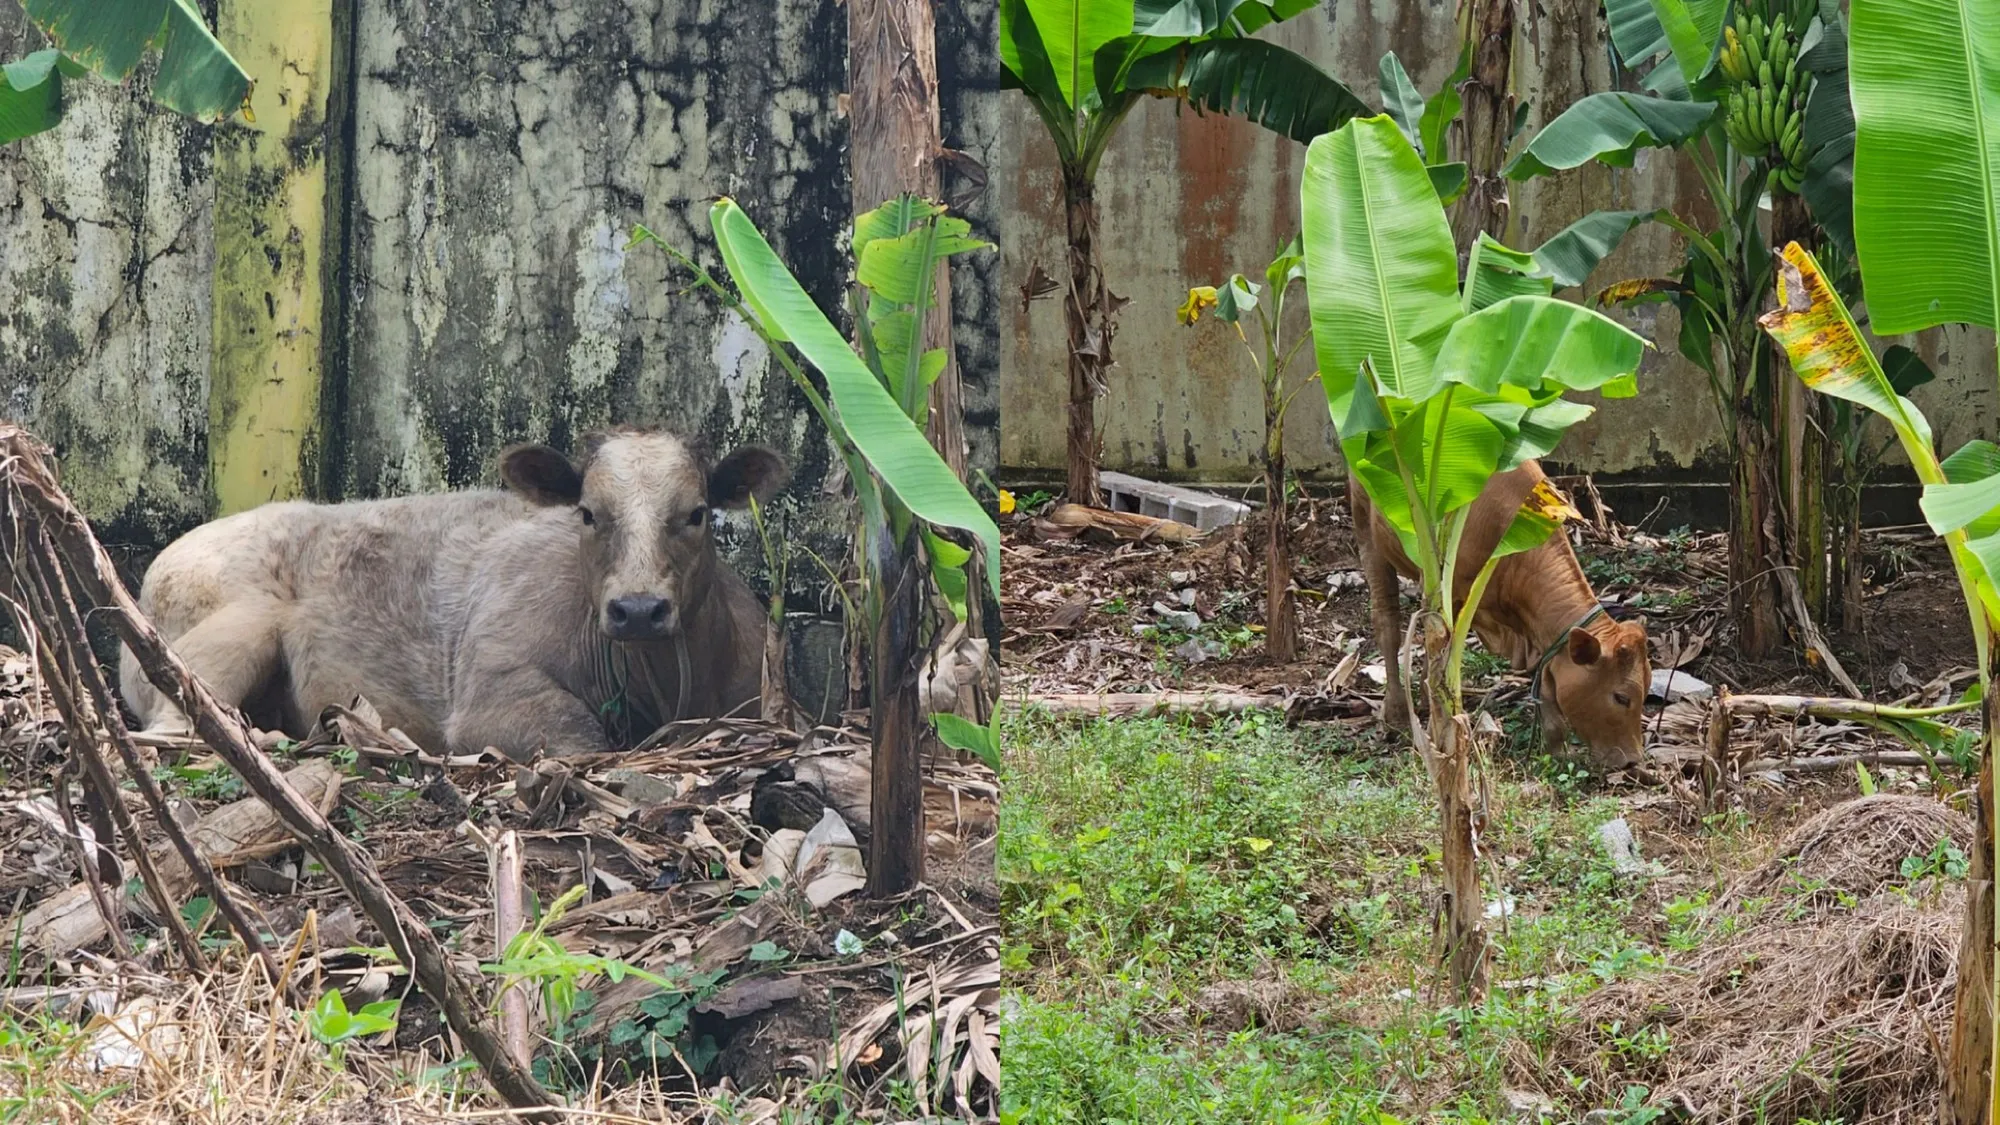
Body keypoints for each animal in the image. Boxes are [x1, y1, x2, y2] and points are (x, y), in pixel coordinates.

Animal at [115, 424, 788, 756]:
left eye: (696, 513)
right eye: (588, 513)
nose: (639, 610)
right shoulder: (493, 693)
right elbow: (581, 742)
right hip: (233, 629)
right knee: (176, 725)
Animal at [1352, 458, 1648, 768]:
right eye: (1621, 697)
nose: (1633, 760)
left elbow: (1545, 674)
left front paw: (1556, 746)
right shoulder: (1450, 589)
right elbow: (1442, 659)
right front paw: (1438, 732)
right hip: (1365, 525)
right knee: (1386, 620)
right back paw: (1397, 713)